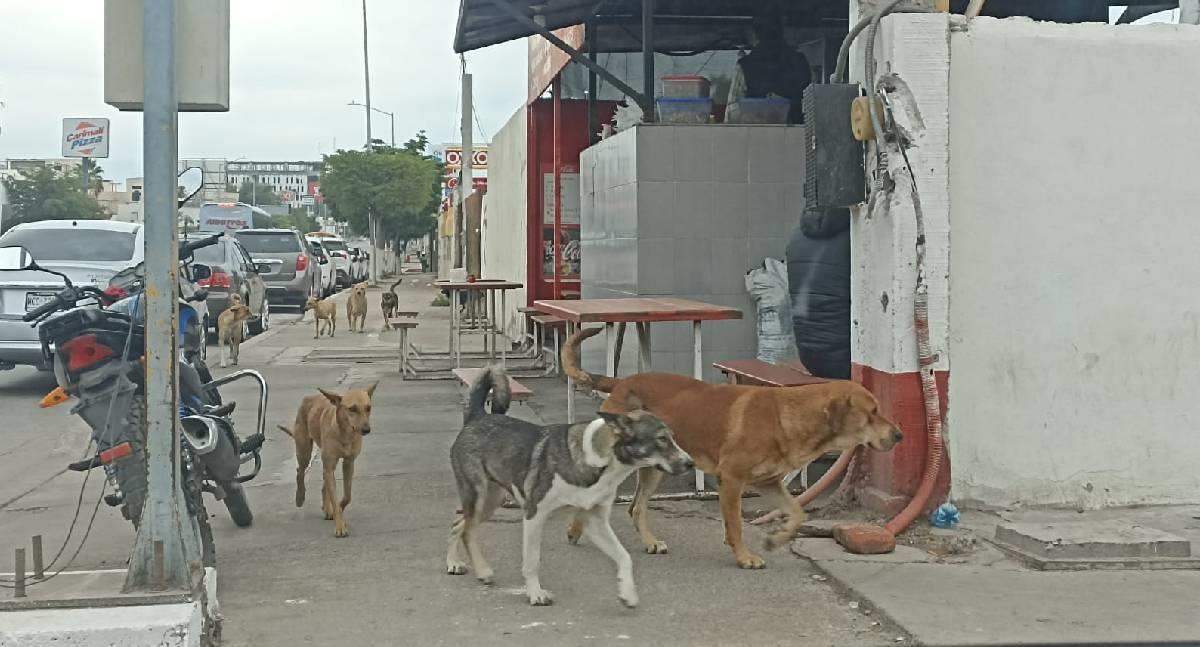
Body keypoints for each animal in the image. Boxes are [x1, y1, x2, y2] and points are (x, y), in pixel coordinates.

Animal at [278, 381, 376, 540]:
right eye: (352, 409)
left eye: (368, 408)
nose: (366, 430)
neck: (345, 433)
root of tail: (309, 397)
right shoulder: (329, 466)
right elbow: (335, 500)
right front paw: (340, 524)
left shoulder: (349, 463)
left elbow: (346, 497)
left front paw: (337, 512)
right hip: (304, 451)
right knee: (300, 471)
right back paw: (300, 497)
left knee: (324, 484)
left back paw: (326, 507)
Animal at [448, 367, 696, 609]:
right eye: (662, 439)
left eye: (672, 437)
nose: (690, 463)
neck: (601, 461)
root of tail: (477, 417)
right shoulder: (534, 515)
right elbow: (532, 561)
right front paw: (535, 594)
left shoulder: (596, 522)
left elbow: (624, 557)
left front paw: (627, 593)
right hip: (479, 496)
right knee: (468, 530)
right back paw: (482, 570)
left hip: (491, 501)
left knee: (458, 525)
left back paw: (454, 563)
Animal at [561, 326, 902, 568]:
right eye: (872, 412)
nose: (900, 435)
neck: (790, 416)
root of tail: (621, 382)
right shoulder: (732, 479)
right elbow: (736, 525)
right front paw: (745, 557)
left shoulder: (769, 482)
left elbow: (797, 512)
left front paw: (776, 539)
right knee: (591, 496)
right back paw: (576, 531)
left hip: (654, 468)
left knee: (636, 507)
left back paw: (648, 541)